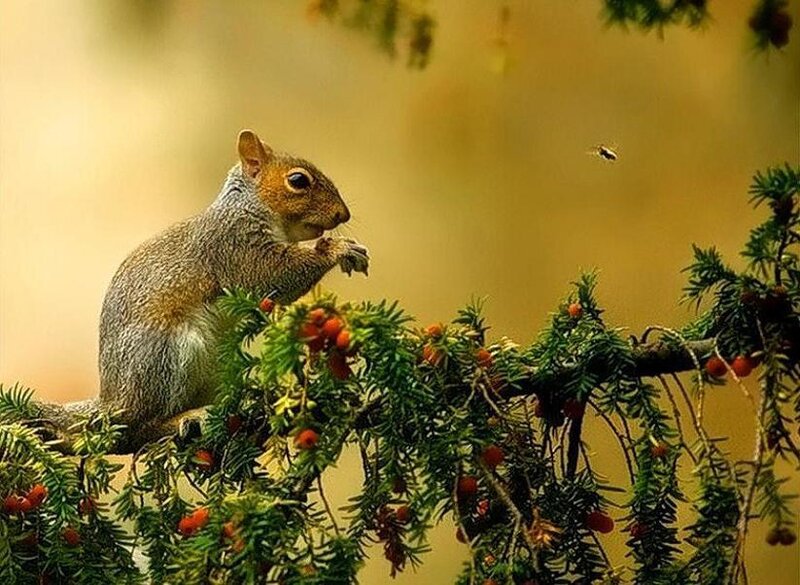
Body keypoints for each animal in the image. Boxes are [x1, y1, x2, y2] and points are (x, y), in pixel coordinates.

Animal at [38, 129, 368, 450]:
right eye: (298, 180)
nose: (344, 214)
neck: (249, 206)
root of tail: (113, 400)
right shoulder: (234, 246)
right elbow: (272, 275)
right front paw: (336, 249)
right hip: (164, 355)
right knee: (137, 430)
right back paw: (185, 419)